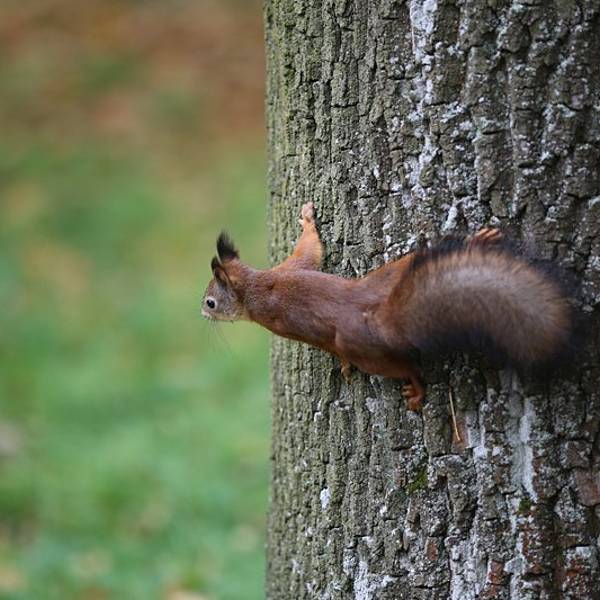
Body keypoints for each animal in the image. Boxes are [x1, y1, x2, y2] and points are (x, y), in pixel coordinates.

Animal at [202, 202, 575, 411]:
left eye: (211, 302)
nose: (201, 312)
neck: (255, 285)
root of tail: (378, 314)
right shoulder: (293, 266)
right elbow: (310, 249)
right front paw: (308, 219)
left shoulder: (278, 319)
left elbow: (320, 341)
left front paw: (343, 368)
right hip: (388, 276)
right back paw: (475, 241)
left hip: (365, 351)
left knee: (405, 368)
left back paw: (416, 389)